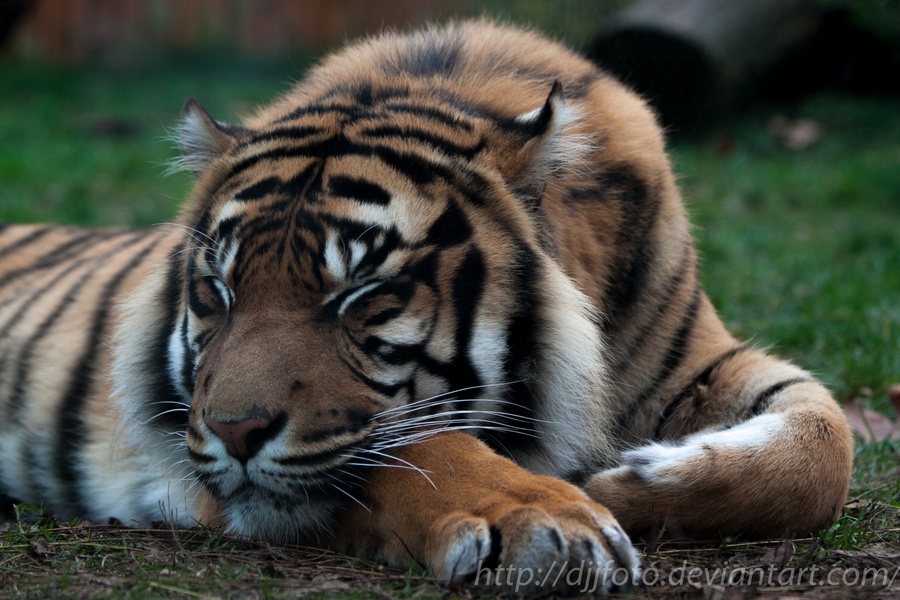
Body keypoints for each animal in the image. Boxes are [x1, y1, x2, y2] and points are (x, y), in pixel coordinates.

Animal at [0, 18, 852, 596]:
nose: (235, 433)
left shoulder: (702, 361)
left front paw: (635, 479)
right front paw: (552, 520)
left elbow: (825, 447)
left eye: (362, 294)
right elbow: (420, 448)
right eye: (218, 293)